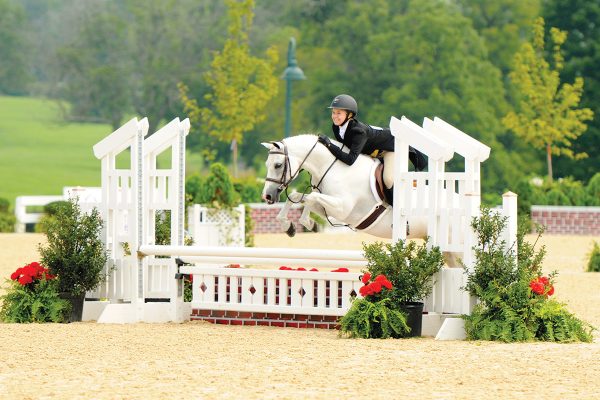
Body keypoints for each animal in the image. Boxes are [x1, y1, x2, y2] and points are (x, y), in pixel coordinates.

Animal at [258, 134, 426, 239]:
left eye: (278, 165)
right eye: (266, 164)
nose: (267, 196)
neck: (334, 167)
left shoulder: (342, 208)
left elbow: (311, 197)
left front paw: (307, 223)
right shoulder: (330, 209)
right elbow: (297, 196)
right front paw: (293, 226)